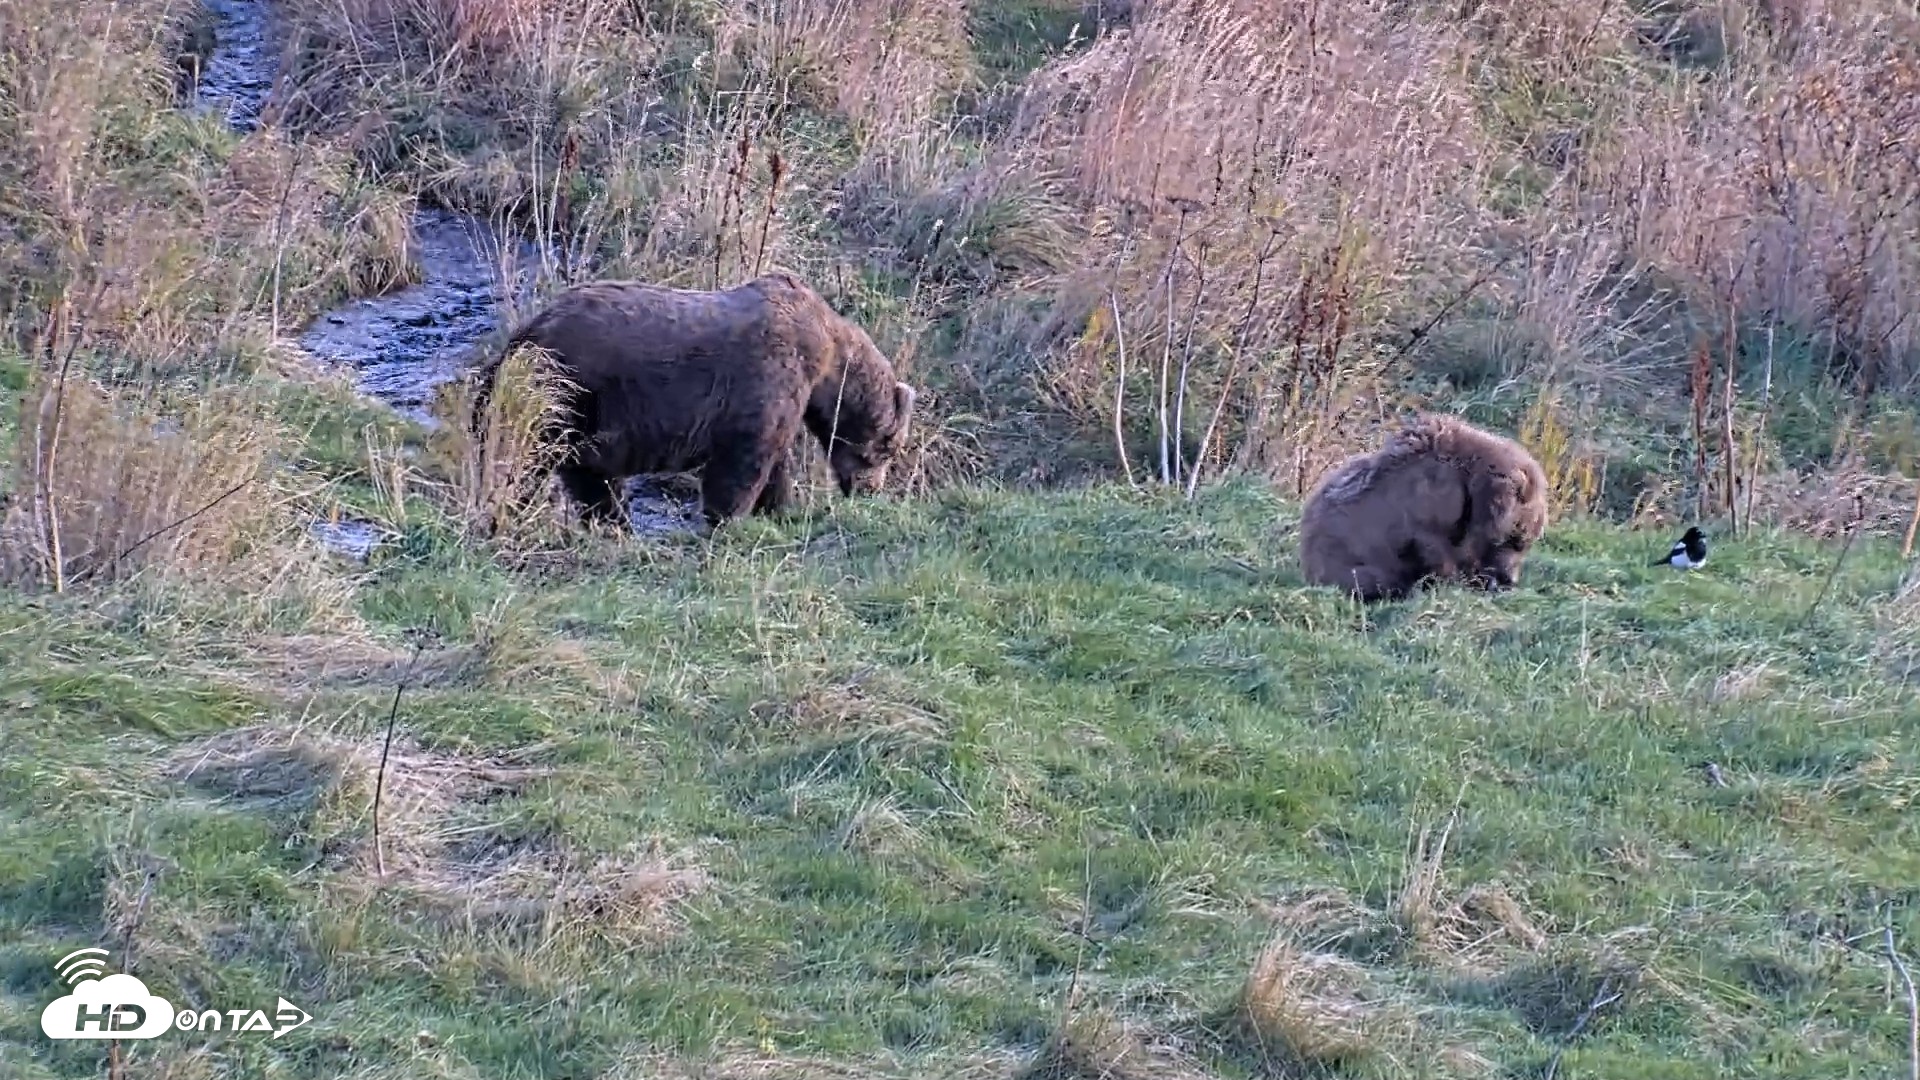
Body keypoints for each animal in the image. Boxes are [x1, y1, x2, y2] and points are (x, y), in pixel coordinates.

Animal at [469, 271, 919, 530]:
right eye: (890, 446)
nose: (869, 490)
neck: (824, 357)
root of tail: (522, 333)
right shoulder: (765, 381)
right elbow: (741, 466)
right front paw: (727, 519)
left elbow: (773, 460)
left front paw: (778, 509)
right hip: (566, 390)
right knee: (531, 457)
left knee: (586, 474)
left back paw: (612, 522)